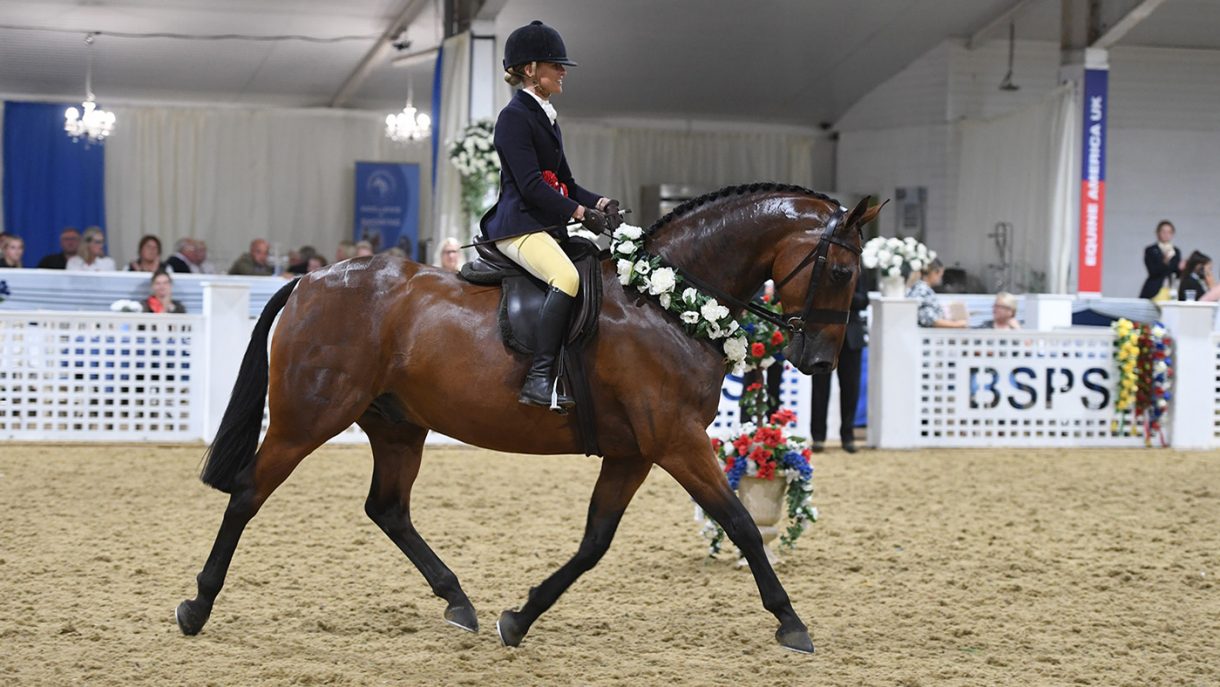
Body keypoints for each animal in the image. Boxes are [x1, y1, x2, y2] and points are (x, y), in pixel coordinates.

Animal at [175, 183, 878, 654]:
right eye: (843, 270)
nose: (818, 361)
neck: (667, 302)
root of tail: (311, 280)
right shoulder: (676, 441)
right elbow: (741, 525)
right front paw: (791, 622)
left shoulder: (635, 451)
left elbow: (595, 541)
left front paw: (520, 617)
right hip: (309, 417)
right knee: (249, 493)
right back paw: (197, 606)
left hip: (398, 424)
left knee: (388, 508)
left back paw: (458, 601)